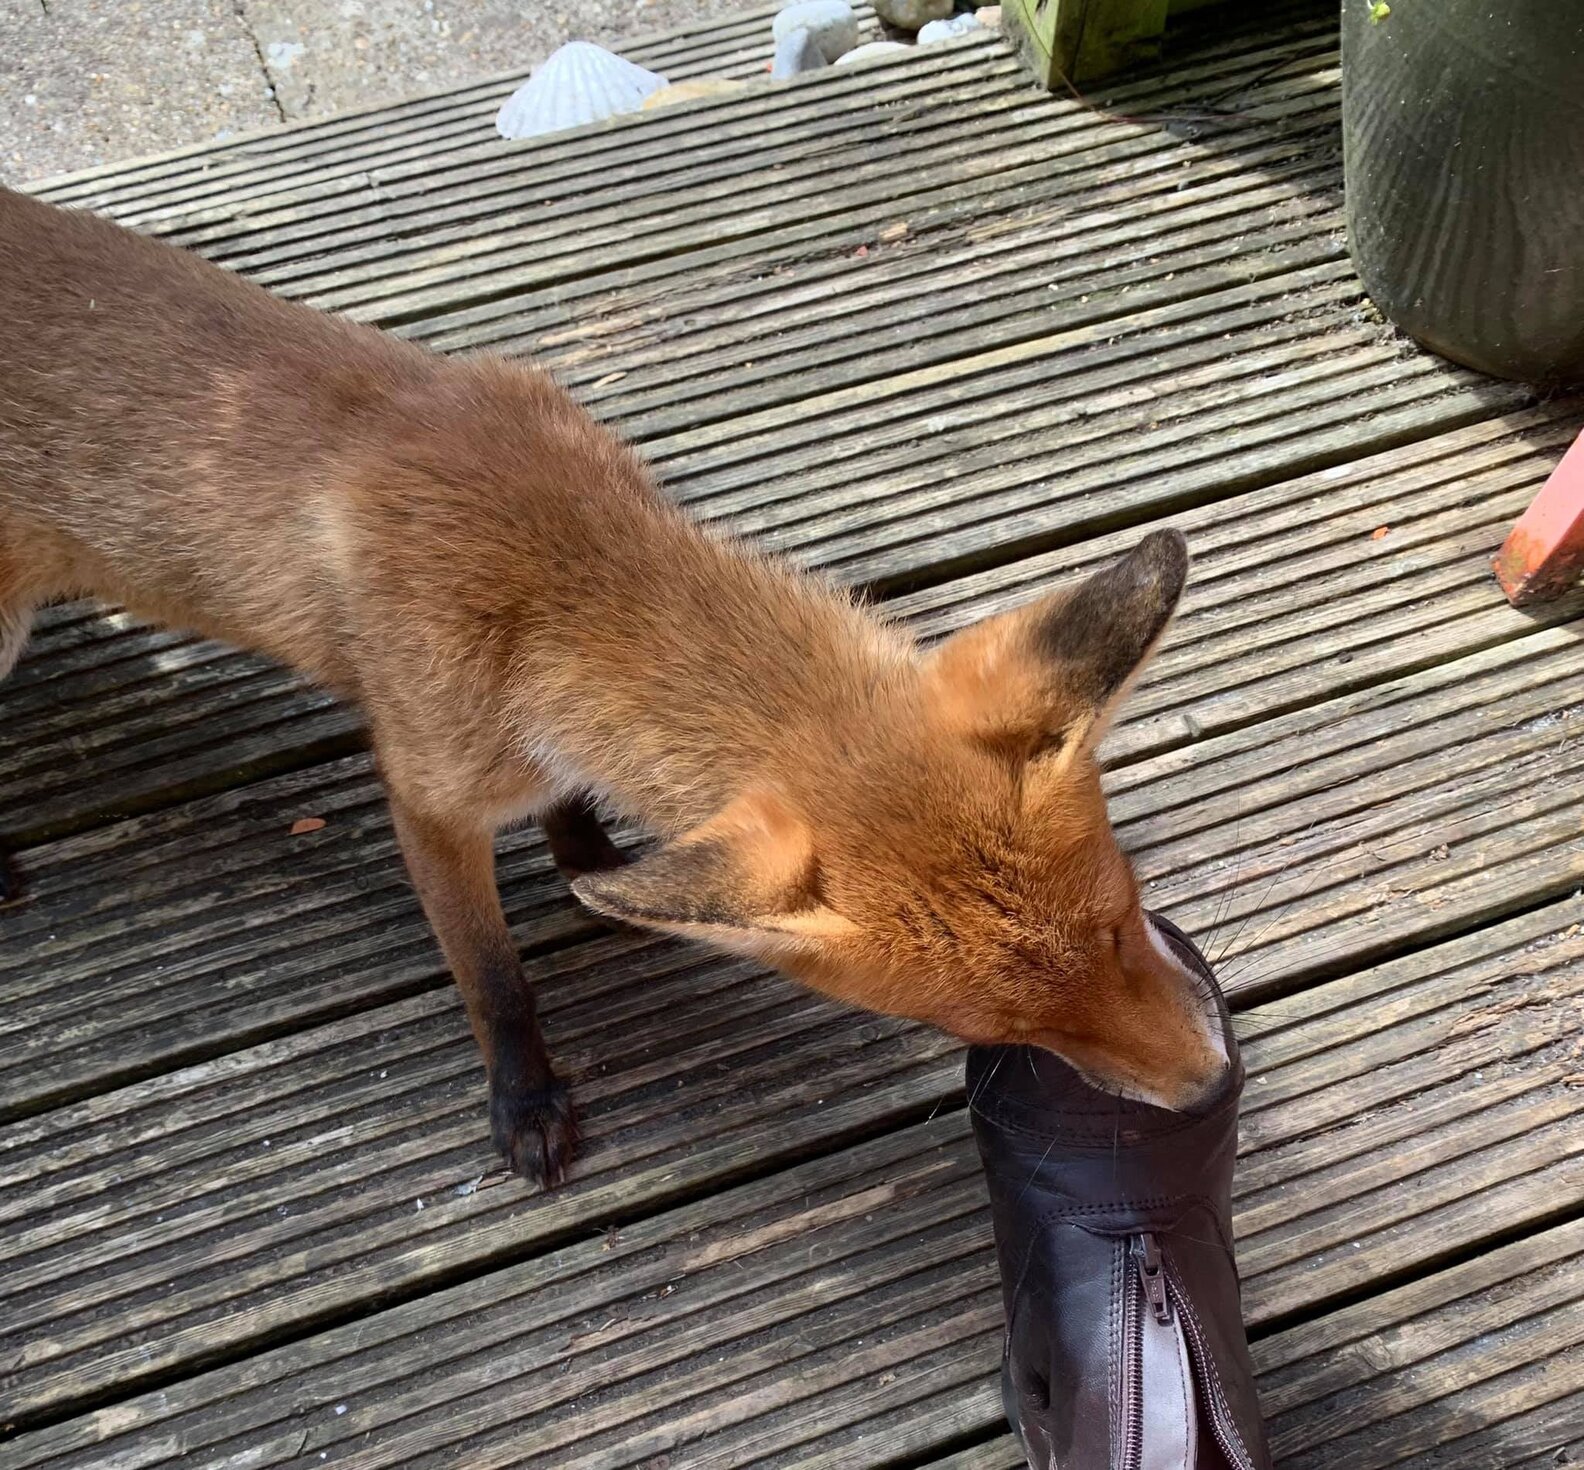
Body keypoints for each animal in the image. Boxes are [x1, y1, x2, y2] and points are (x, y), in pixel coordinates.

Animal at [0, 184, 1228, 1187]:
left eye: (1126, 927)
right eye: (1006, 1031)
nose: (1214, 1086)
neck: (552, 578)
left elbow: (577, 817)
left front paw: (590, 855)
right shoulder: (429, 797)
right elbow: (493, 978)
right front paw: (526, 1098)